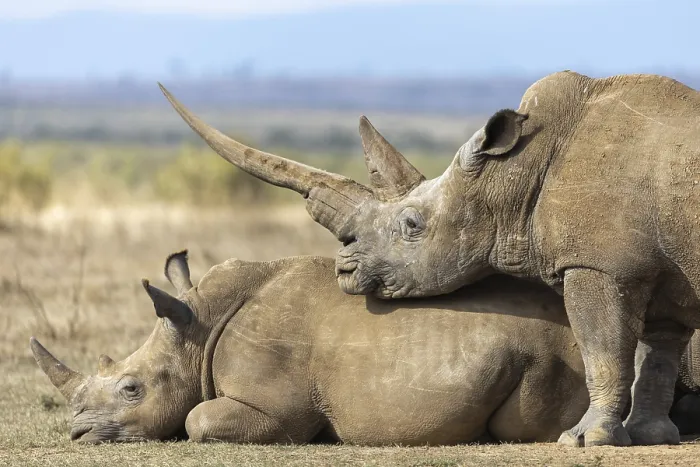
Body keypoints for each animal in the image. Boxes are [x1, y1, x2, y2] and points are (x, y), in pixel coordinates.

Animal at [31, 252, 700, 445]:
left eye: (132, 389)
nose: (77, 432)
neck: (199, 326)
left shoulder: (276, 409)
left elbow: (197, 419)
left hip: (560, 352)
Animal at [158, 72, 700, 447]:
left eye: (412, 225)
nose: (344, 271)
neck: (512, 175)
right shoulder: (659, 271)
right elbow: (656, 350)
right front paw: (650, 436)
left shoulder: (597, 266)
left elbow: (603, 348)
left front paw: (586, 440)